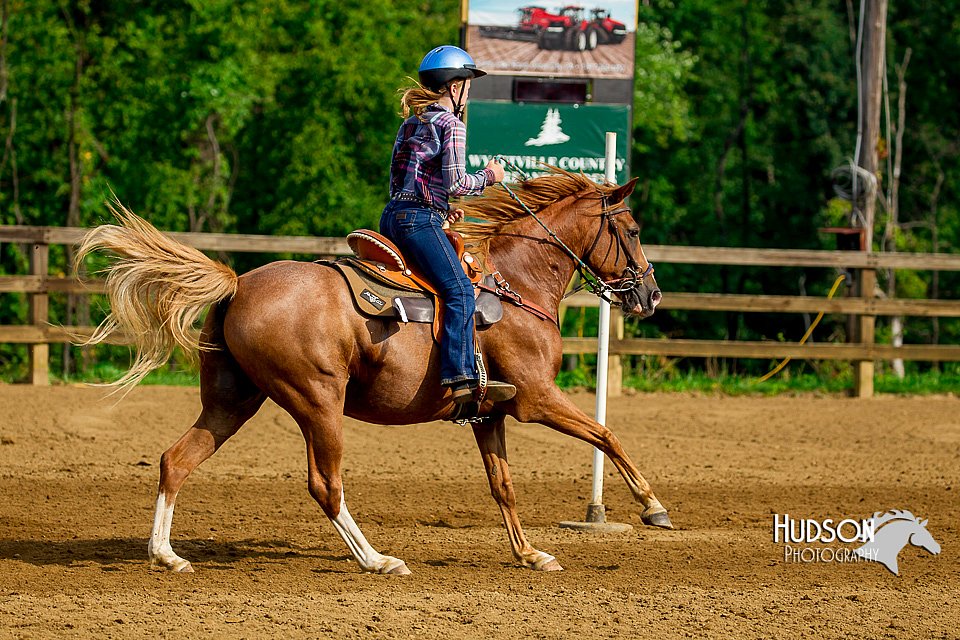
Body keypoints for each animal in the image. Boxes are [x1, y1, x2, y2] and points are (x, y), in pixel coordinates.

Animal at [77, 169, 668, 576]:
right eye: (635, 229)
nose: (651, 295)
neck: (516, 283)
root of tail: (239, 284)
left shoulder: (490, 414)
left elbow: (503, 486)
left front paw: (530, 555)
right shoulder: (536, 398)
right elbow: (607, 435)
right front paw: (653, 508)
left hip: (231, 402)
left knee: (176, 460)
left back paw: (166, 555)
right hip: (317, 401)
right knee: (325, 484)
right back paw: (377, 559)